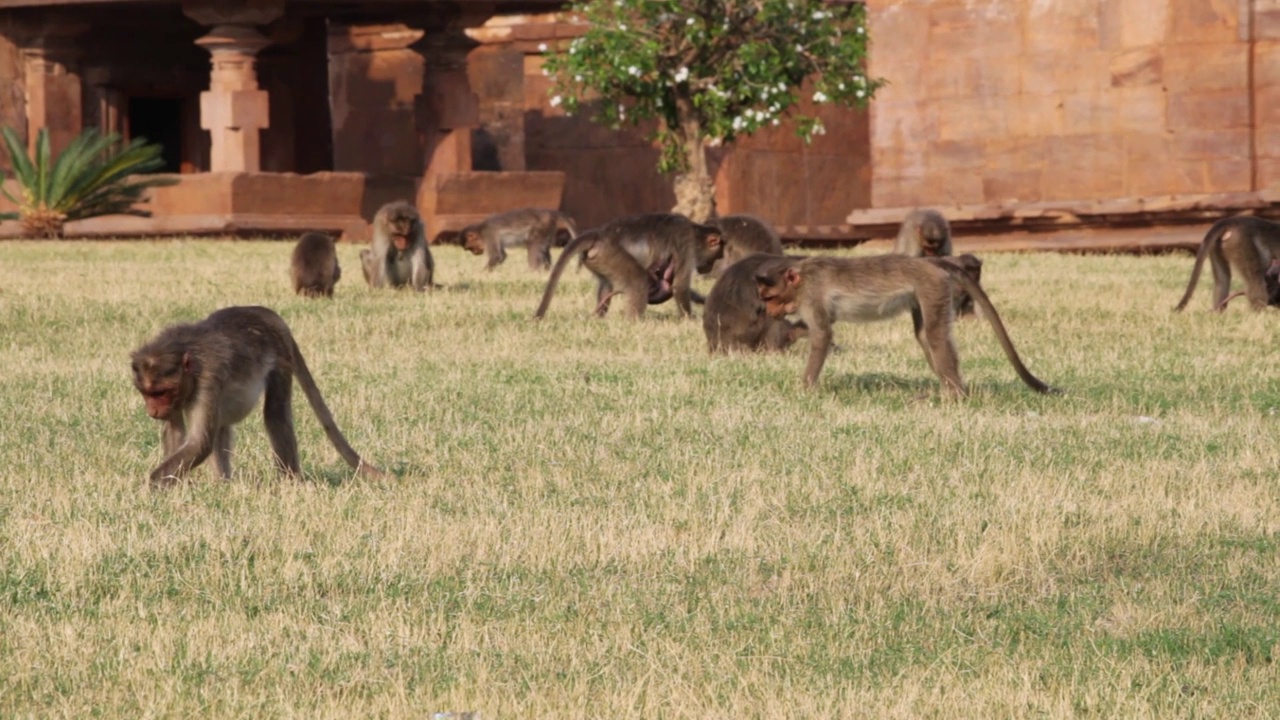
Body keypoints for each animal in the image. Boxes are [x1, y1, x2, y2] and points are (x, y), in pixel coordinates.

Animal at [133, 304, 389, 484]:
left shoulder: (209, 379)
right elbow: (176, 432)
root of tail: (261, 312)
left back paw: (290, 483)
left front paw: (149, 486)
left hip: (280, 355)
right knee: (222, 427)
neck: (191, 358)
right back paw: (223, 485)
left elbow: (199, 442)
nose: (153, 411)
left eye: (161, 393)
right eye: (147, 394)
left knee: (275, 414)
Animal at [535, 212, 727, 319]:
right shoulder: (686, 247)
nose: (709, 268)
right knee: (638, 280)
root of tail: (600, 235)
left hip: (601, 259)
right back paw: (633, 323)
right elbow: (679, 286)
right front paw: (690, 319)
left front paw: (704, 300)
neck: (695, 233)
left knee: (607, 286)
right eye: (717, 257)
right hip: (612, 254)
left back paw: (598, 318)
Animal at [747, 253, 1059, 397]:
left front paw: (805, 388)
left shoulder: (812, 295)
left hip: (932, 287)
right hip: (926, 293)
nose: (769, 310)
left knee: (934, 336)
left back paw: (954, 395)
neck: (801, 278)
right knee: (924, 335)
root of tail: (932, 262)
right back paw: (948, 388)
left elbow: (823, 334)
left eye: (770, 296)